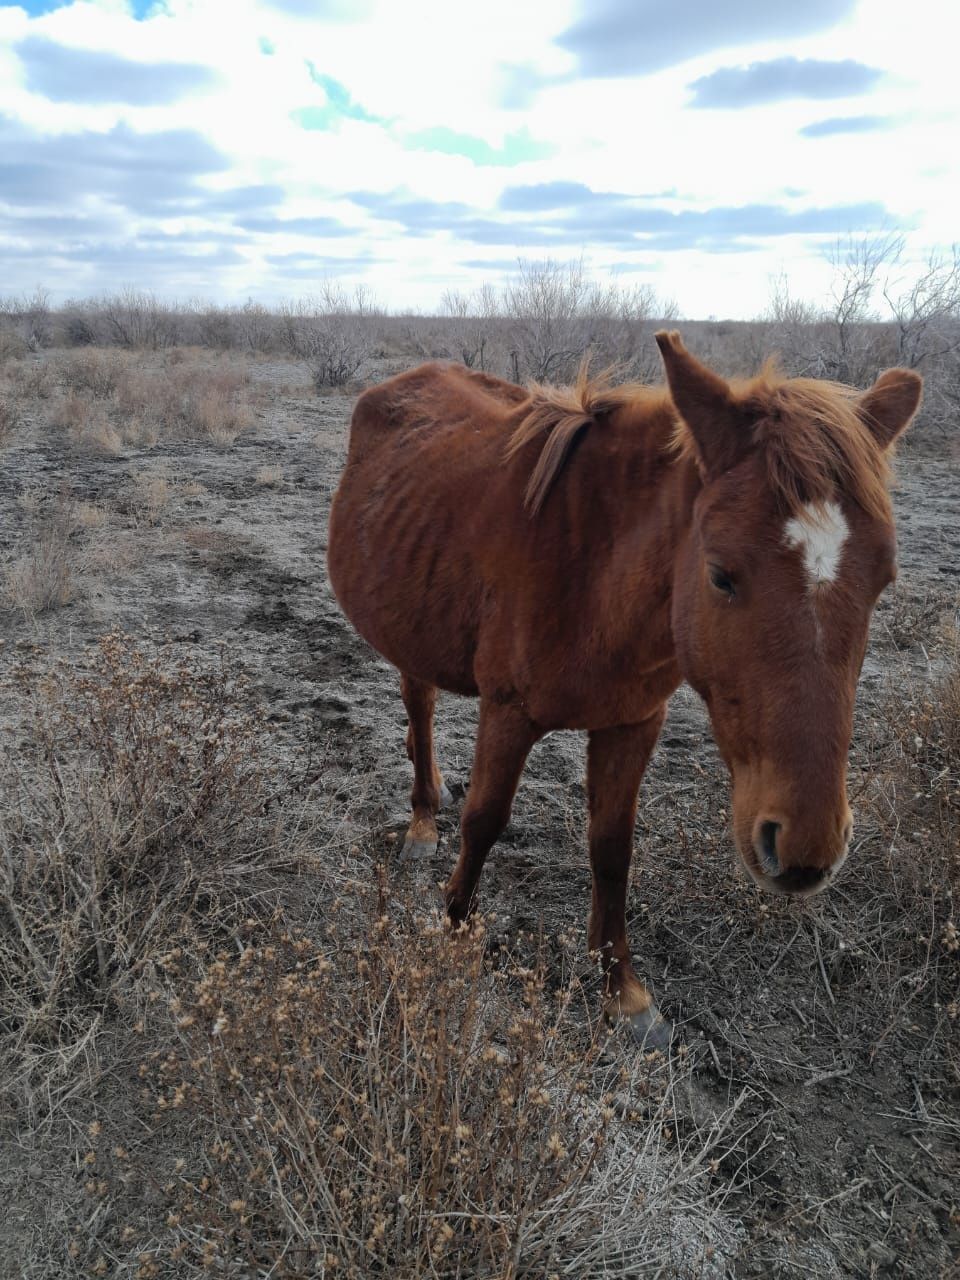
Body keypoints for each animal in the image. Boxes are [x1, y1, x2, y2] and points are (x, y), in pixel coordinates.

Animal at [330, 332, 926, 1049]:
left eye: (884, 580)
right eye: (721, 575)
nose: (807, 848)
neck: (594, 571)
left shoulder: (634, 723)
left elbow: (613, 849)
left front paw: (623, 991)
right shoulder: (508, 712)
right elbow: (484, 822)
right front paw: (452, 935)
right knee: (418, 706)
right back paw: (422, 819)